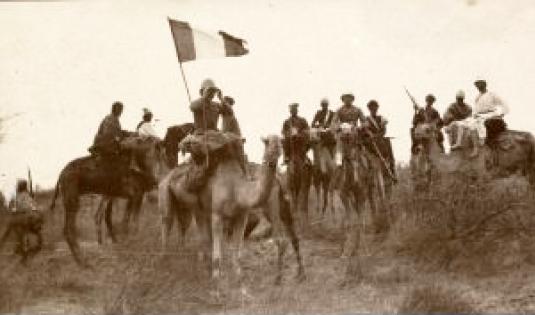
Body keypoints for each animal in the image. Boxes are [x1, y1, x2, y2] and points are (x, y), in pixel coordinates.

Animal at [48, 136, 165, 266]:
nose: (159, 142)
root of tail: (61, 175)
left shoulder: (131, 197)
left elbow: (125, 222)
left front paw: (126, 244)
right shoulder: (137, 195)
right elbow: (134, 223)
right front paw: (137, 244)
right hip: (72, 198)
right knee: (70, 229)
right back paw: (83, 262)